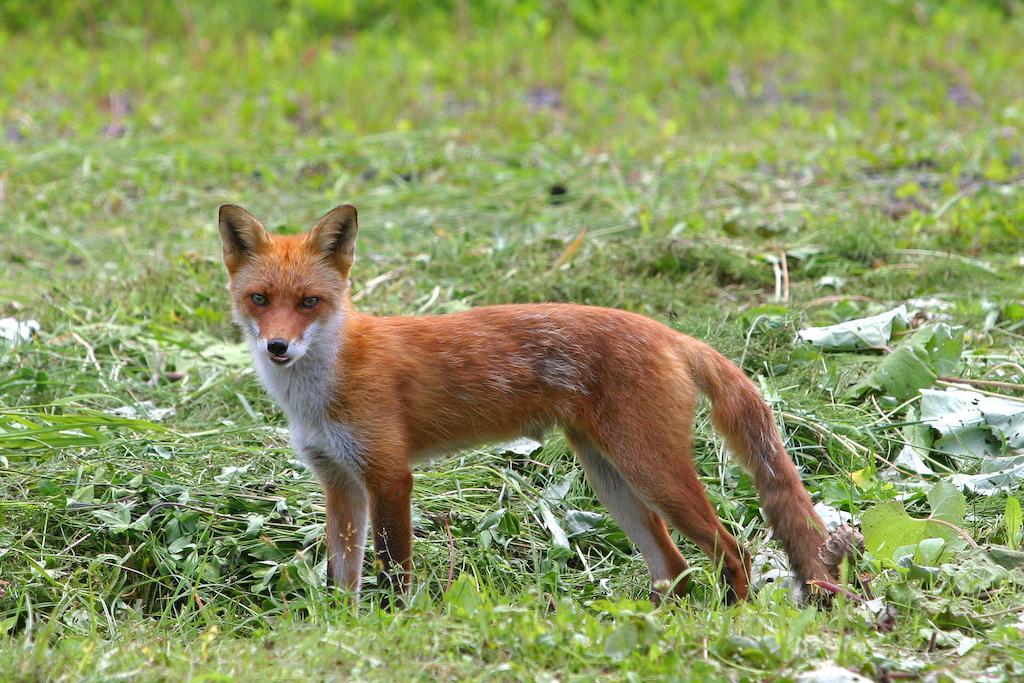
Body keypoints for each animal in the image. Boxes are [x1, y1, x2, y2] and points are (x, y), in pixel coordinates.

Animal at [220, 202, 835, 602]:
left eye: (309, 302)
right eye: (260, 299)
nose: (278, 347)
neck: (322, 387)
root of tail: (669, 333)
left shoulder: (389, 475)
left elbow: (394, 573)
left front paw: (392, 623)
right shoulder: (339, 481)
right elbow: (340, 579)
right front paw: (344, 629)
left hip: (653, 474)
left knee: (734, 551)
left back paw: (732, 618)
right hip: (613, 481)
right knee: (676, 569)